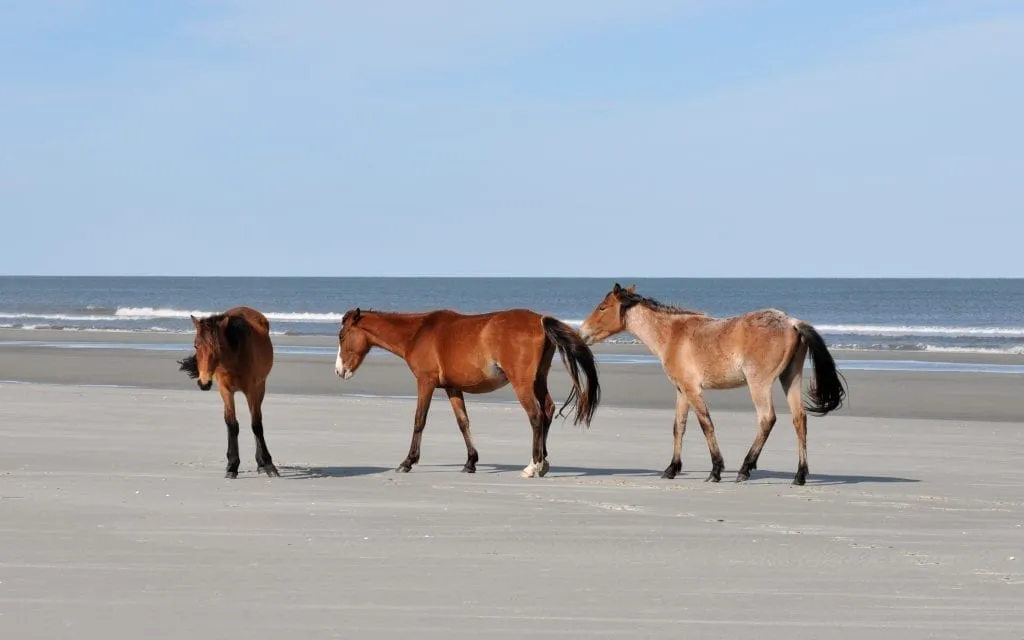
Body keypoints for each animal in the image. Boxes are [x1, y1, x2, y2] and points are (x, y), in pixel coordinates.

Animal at [177, 305, 280, 479]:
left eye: (218, 347)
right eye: (196, 345)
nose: (204, 382)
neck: (234, 359)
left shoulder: (252, 391)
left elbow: (256, 425)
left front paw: (268, 464)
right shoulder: (225, 391)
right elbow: (232, 424)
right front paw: (232, 465)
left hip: (260, 388)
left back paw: (261, 464)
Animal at [331, 307, 602, 477]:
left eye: (342, 336)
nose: (339, 371)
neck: (418, 332)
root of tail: (540, 320)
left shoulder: (425, 382)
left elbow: (419, 420)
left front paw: (407, 462)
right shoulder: (453, 388)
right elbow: (463, 423)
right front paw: (470, 462)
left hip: (522, 383)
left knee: (536, 416)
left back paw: (533, 466)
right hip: (538, 379)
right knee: (547, 410)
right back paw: (543, 463)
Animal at [581, 282, 843, 483]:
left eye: (602, 307)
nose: (582, 332)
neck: (672, 334)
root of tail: (791, 322)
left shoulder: (692, 389)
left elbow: (706, 424)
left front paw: (716, 470)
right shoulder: (681, 391)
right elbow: (679, 427)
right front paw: (671, 469)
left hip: (759, 384)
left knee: (767, 419)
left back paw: (745, 469)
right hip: (790, 378)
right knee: (800, 419)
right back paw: (799, 476)